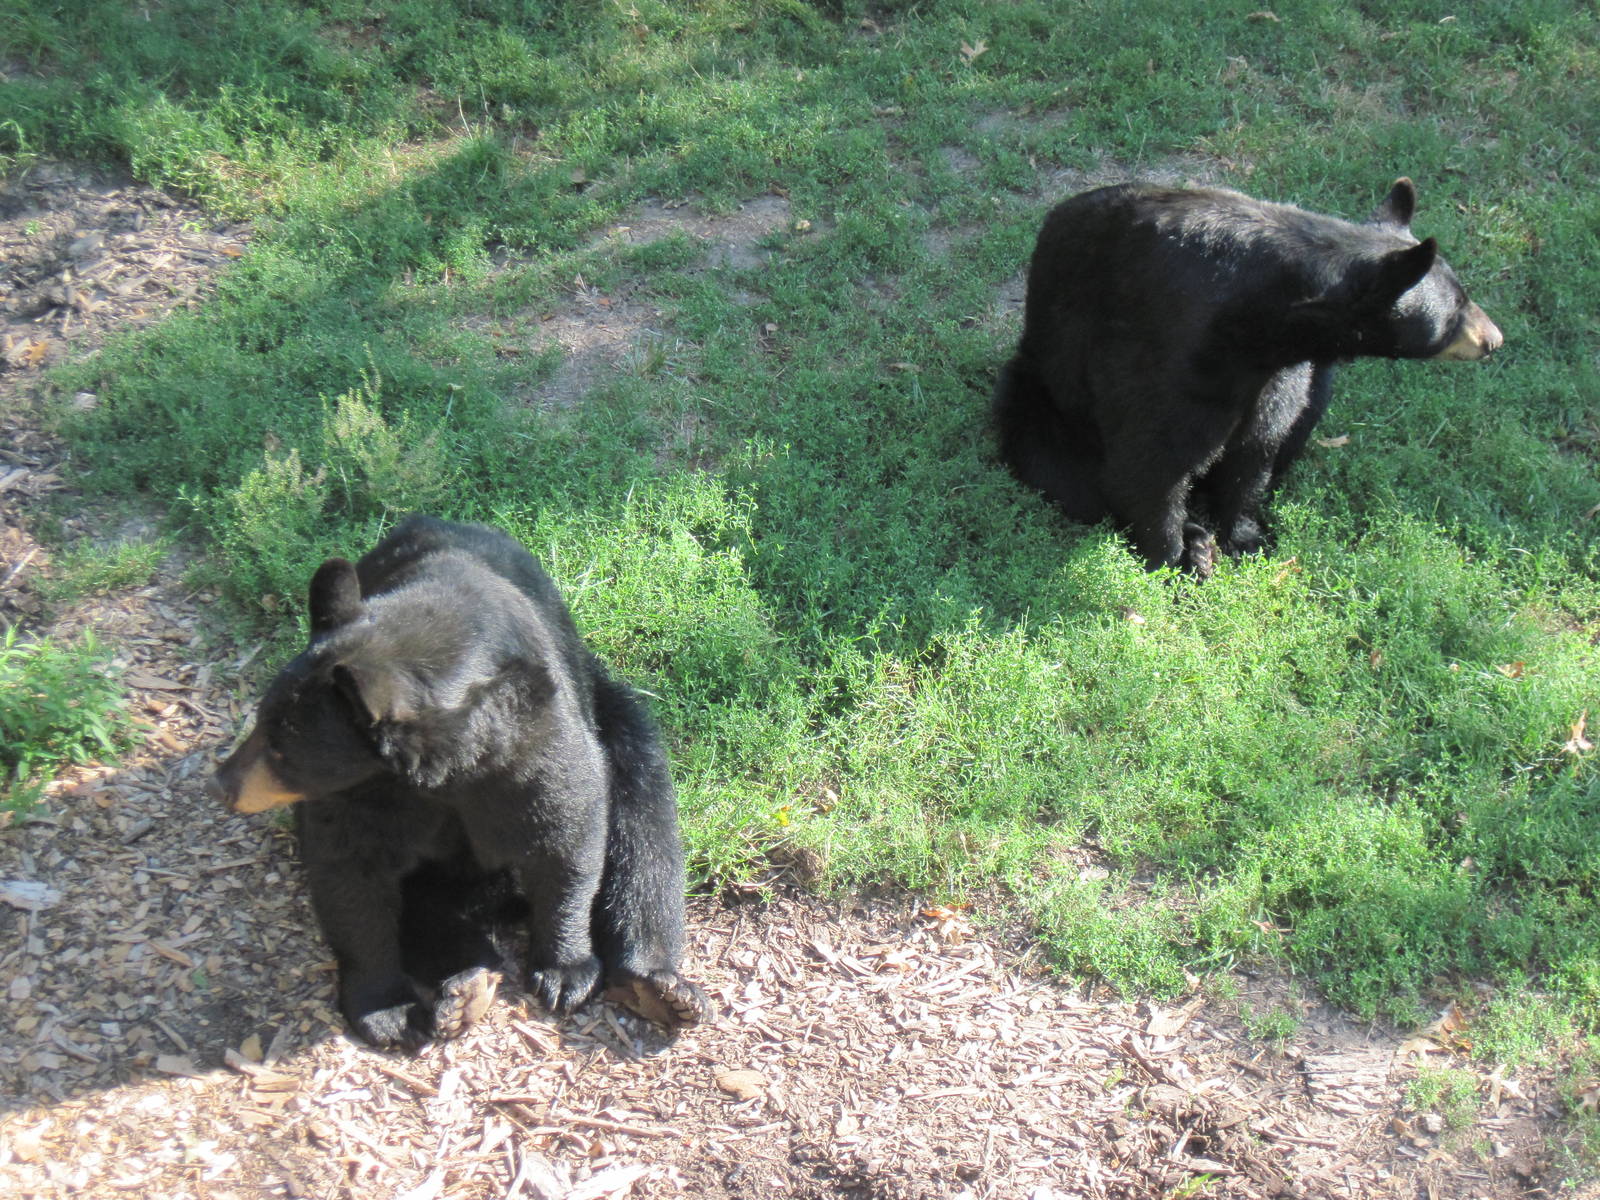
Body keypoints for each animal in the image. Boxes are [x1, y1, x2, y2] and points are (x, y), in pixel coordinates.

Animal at [210, 514, 707, 1050]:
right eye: (261, 722)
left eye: (282, 749)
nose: (223, 783)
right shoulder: (360, 793)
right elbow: (349, 871)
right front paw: (385, 1010)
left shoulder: (532, 740)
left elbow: (567, 832)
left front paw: (565, 971)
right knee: (427, 915)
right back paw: (467, 985)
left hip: (615, 718)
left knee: (645, 832)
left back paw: (658, 986)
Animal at [994, 178, 1503, 575]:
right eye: (1456, 310)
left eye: (1463, 296)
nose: (1494, 339)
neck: (1257, 327)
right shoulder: (1161, 351)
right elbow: (1149, 460)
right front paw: (1173, 558)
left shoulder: (1281, 374)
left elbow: (1259, 445)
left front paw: (1245, 536)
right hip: (1041, 396)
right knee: (1064, 472)